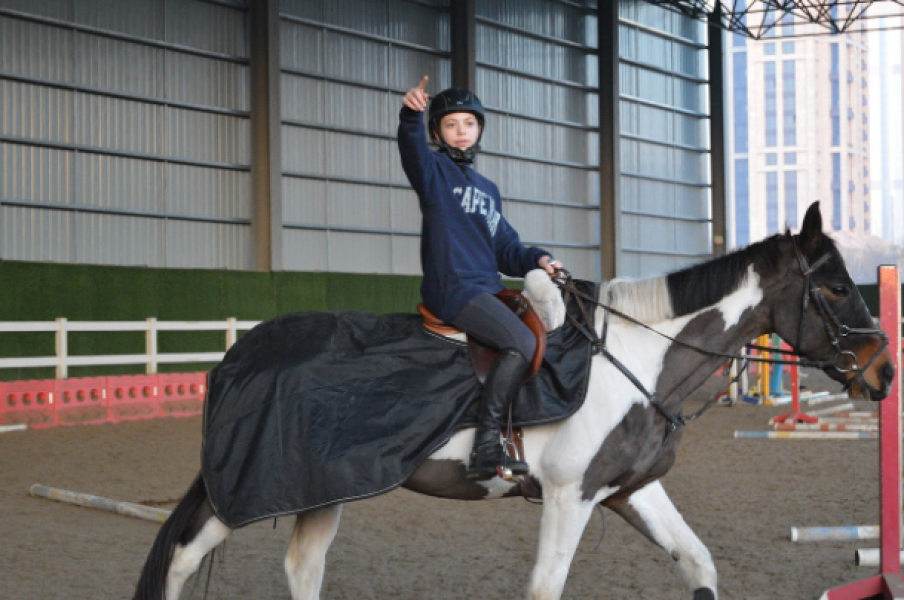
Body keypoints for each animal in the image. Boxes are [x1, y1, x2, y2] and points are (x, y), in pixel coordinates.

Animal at [134, 204, 896, 596]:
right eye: (834, 287)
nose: (884, 372)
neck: (636, 360)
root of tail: (238, 355)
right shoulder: (568, 496)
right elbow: (545, 588)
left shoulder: (627, 491)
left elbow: (698, 564)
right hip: (256, 489)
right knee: (184, 559)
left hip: (323, 489)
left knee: (301, 566)